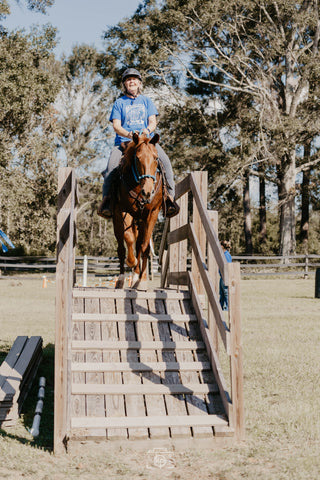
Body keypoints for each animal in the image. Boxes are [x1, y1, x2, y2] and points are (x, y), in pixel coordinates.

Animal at [111, 131, 164, 288]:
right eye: (138, 158)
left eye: (156, 158)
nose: (148, 192)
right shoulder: (123, 210)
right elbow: (128, 238)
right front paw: (131, 262)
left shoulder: (152, 213)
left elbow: (144, 245)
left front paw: (140, 280)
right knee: (122, 247)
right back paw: (122, 279)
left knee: (141, 244)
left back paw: (139, 276)